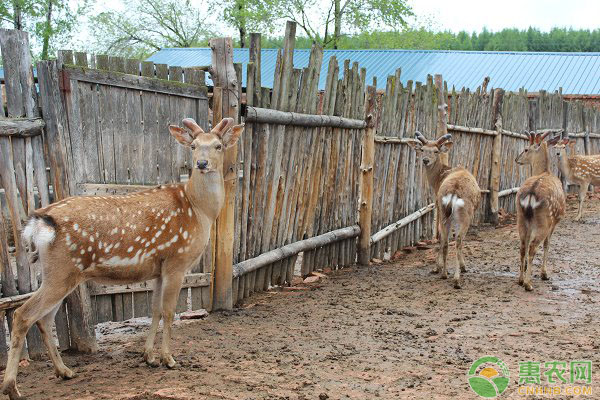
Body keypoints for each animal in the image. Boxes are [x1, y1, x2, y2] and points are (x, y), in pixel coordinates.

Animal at [1, 117, 244, 398]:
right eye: (193, 146)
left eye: (218, 145)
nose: (202, 163)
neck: (200, 210)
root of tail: (38, 223)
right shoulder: (177, 261)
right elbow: (169, 311)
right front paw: (169, 359)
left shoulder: (158, 269)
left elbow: (155, 310)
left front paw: (149, 357)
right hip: (62, 271)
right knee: (23, 314)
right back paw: (12, 387)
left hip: (56, 273)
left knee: (44, 319)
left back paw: (64, 371)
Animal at [406, 133, 480, 290]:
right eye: (422, 149)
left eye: (435, 151)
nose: (425, 160)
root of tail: (453, 192)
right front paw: (463, 267)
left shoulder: (438, 207)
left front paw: (437, 268)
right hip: (464, 215)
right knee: (457, 241)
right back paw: (456, 279)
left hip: (444, 210)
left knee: (445, 240)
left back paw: (444, 274)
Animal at [512, 131, 564, 290]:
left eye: (526, 149)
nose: (517, 159)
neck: (545, 172)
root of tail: (531, 194)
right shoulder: (555, 222)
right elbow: (548, 244)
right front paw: (544, 274)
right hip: (544, 221)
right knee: (533, 247)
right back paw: (528, 284)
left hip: (521, 219)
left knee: (523, 246)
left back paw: (520, 280)